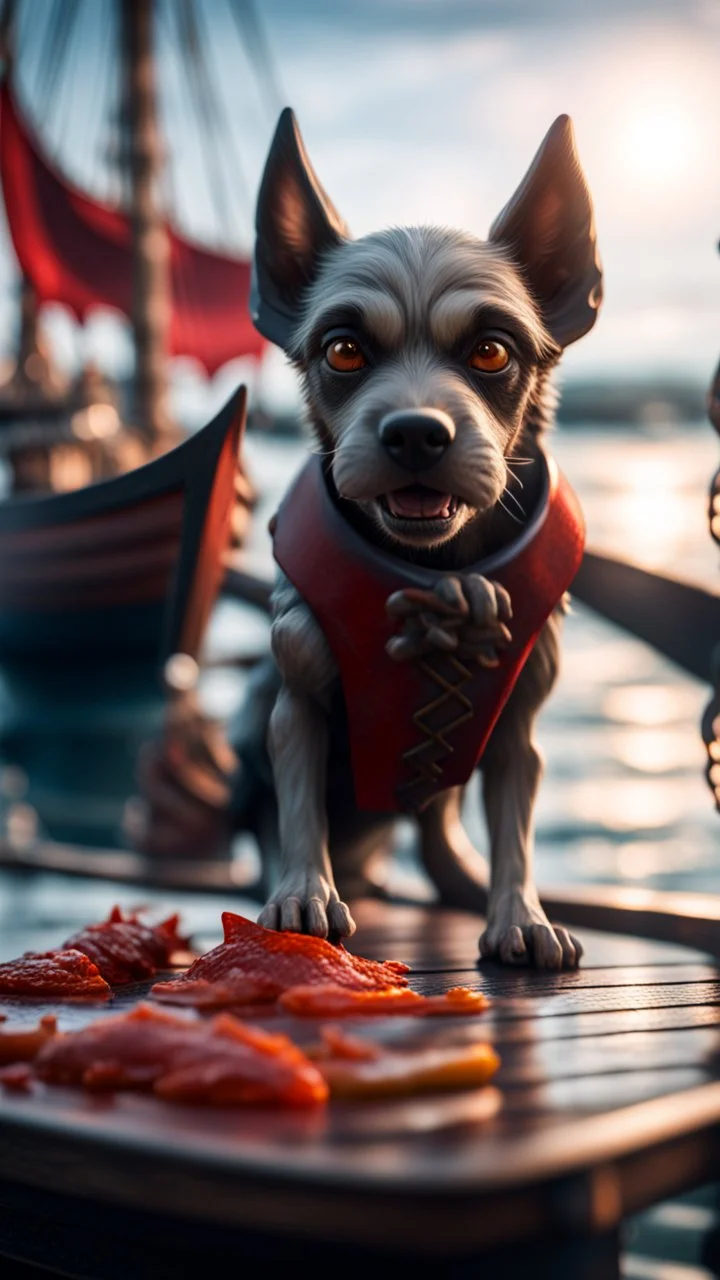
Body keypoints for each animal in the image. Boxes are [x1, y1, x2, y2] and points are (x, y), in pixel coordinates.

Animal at [245, 112, 599, 967]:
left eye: (493, 350)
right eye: (342, 349)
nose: (413, 433)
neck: (436, 572)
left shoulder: (520, 720)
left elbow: (514, 820)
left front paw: (519, 914)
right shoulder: (295, 696)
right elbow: (296, 799)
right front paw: (303, 893)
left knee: (440, 825)